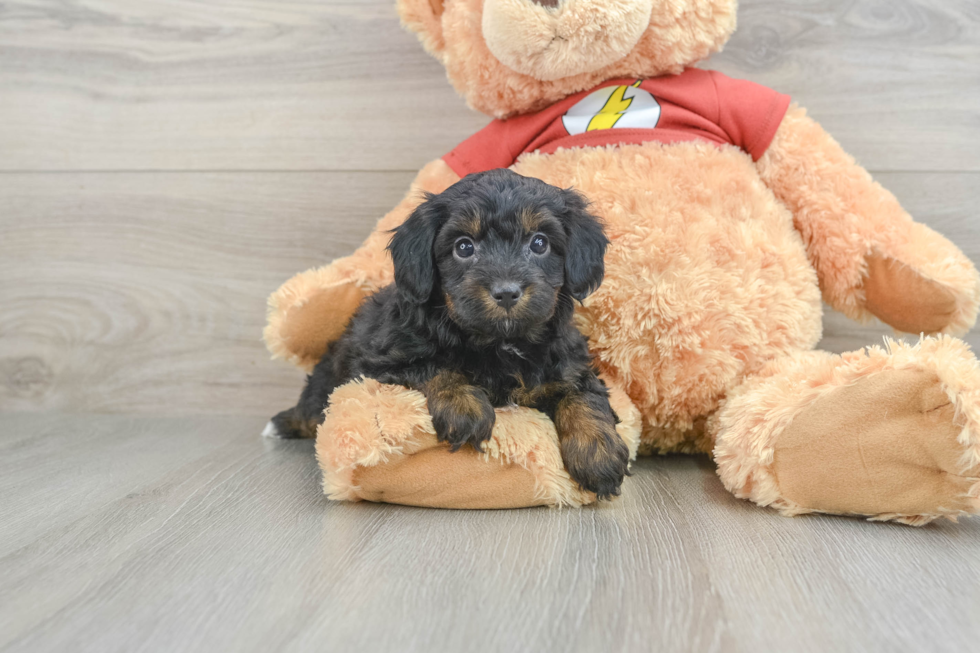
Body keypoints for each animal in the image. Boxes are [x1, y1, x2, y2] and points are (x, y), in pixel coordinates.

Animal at [264, 168, 632, 500]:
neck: (499, 342)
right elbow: (435, 366)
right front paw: (464, 408)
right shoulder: (385, 362)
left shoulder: (568, 362)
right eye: (464, 247)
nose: (506, 292)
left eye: (539, 243)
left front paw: (599, 453)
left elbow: (583, 395)